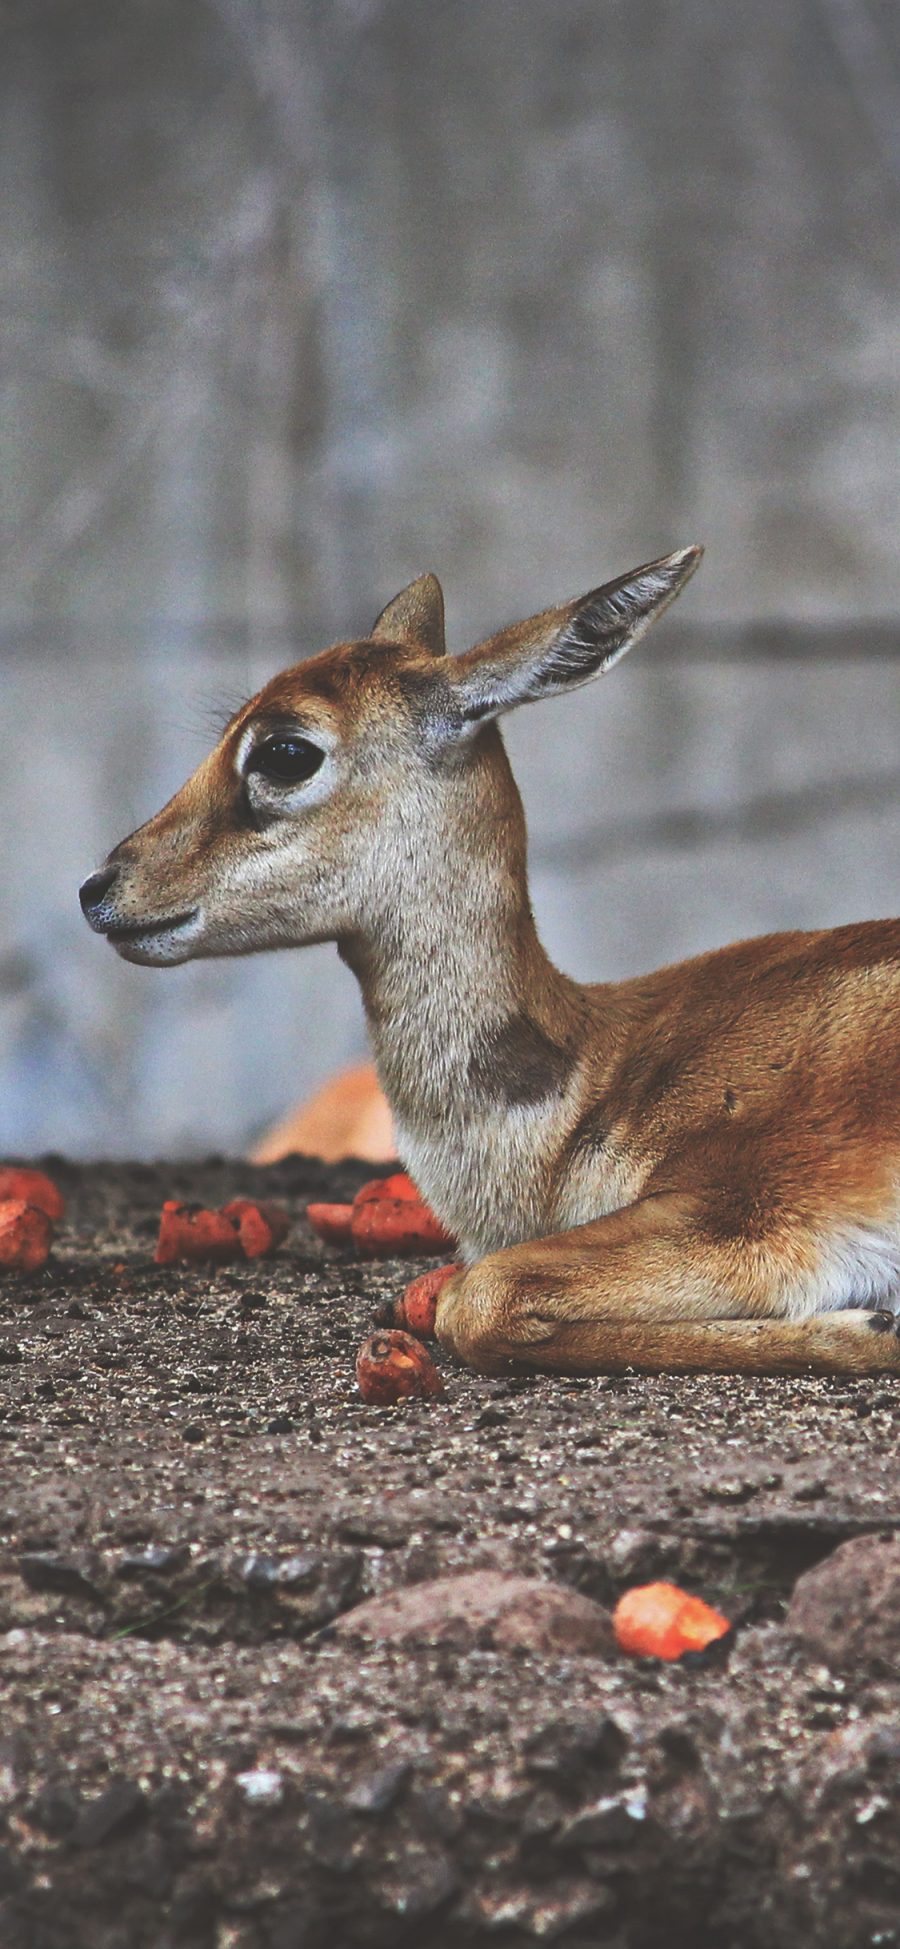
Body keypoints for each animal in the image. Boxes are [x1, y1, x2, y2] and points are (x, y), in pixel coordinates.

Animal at [78, 541, 900, 1379]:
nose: (100, 889)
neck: (594, 1083)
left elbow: (477, 1298)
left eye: (285, 750)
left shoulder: (752, 1207)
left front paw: (874, 1326)